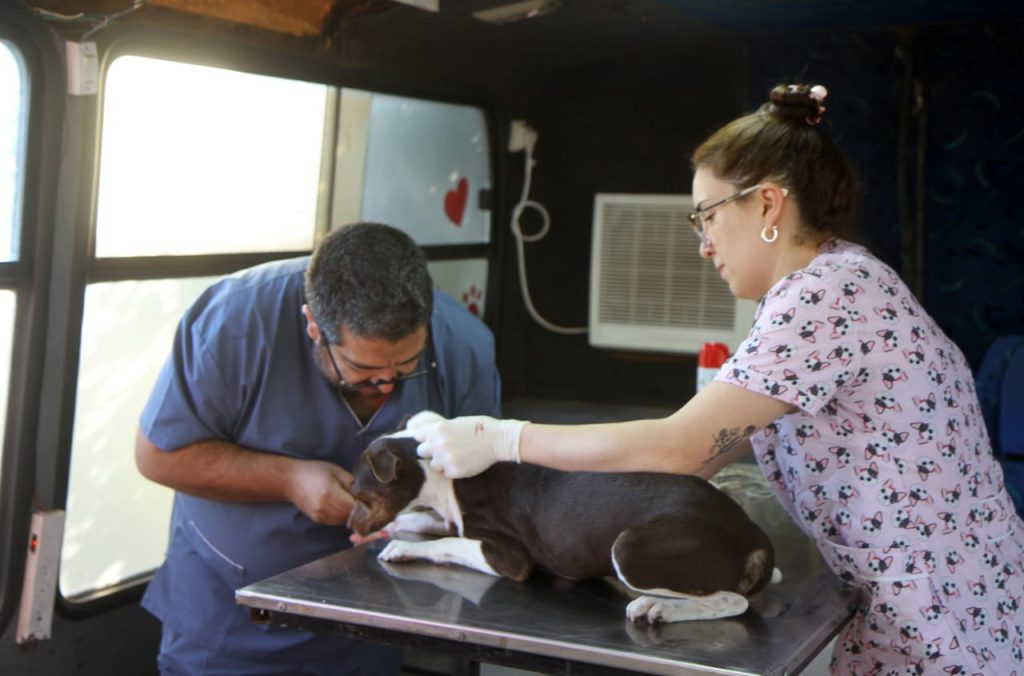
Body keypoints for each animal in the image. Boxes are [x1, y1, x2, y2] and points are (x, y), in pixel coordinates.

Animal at [348, 430, 778, 618]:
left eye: (358, 496)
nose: (350, 522)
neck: (440, 474)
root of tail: (755, 536)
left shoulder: (508, 556)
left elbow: (446, 544)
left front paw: (403, 547)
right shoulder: (456, 520)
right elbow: (436, 524)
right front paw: (404, 524)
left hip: (631, 551)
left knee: (731, 601)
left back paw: (658, 607)